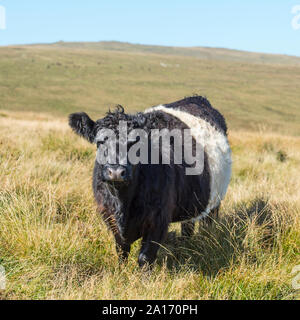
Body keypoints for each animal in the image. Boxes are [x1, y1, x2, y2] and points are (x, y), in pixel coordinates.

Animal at [68, 95, 232, 268]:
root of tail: (196, 98)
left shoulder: (158, 220)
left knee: (208, 223)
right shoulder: (109, 215)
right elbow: (121, 250)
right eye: (100, 142)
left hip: (215, 200)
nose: (116, 172)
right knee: (188, 225)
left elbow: (145, 257)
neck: (123, 204)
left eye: (136, 143)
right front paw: (121, 269)